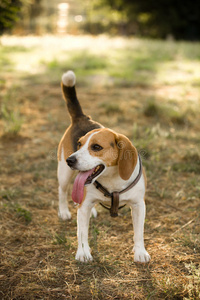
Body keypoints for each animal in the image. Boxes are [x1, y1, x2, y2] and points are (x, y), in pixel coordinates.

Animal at [56, 70, 150, 262]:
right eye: (79, 144)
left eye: (96, 147)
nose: (71, 160)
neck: (112, 180)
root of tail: (82, 117)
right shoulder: (83, 207)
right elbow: (81, 233)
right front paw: (83, 253)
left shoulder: (138, 205)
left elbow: (139, 232)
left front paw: (140, 252)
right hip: (63, 173)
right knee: (62, 191)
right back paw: (64, 212)